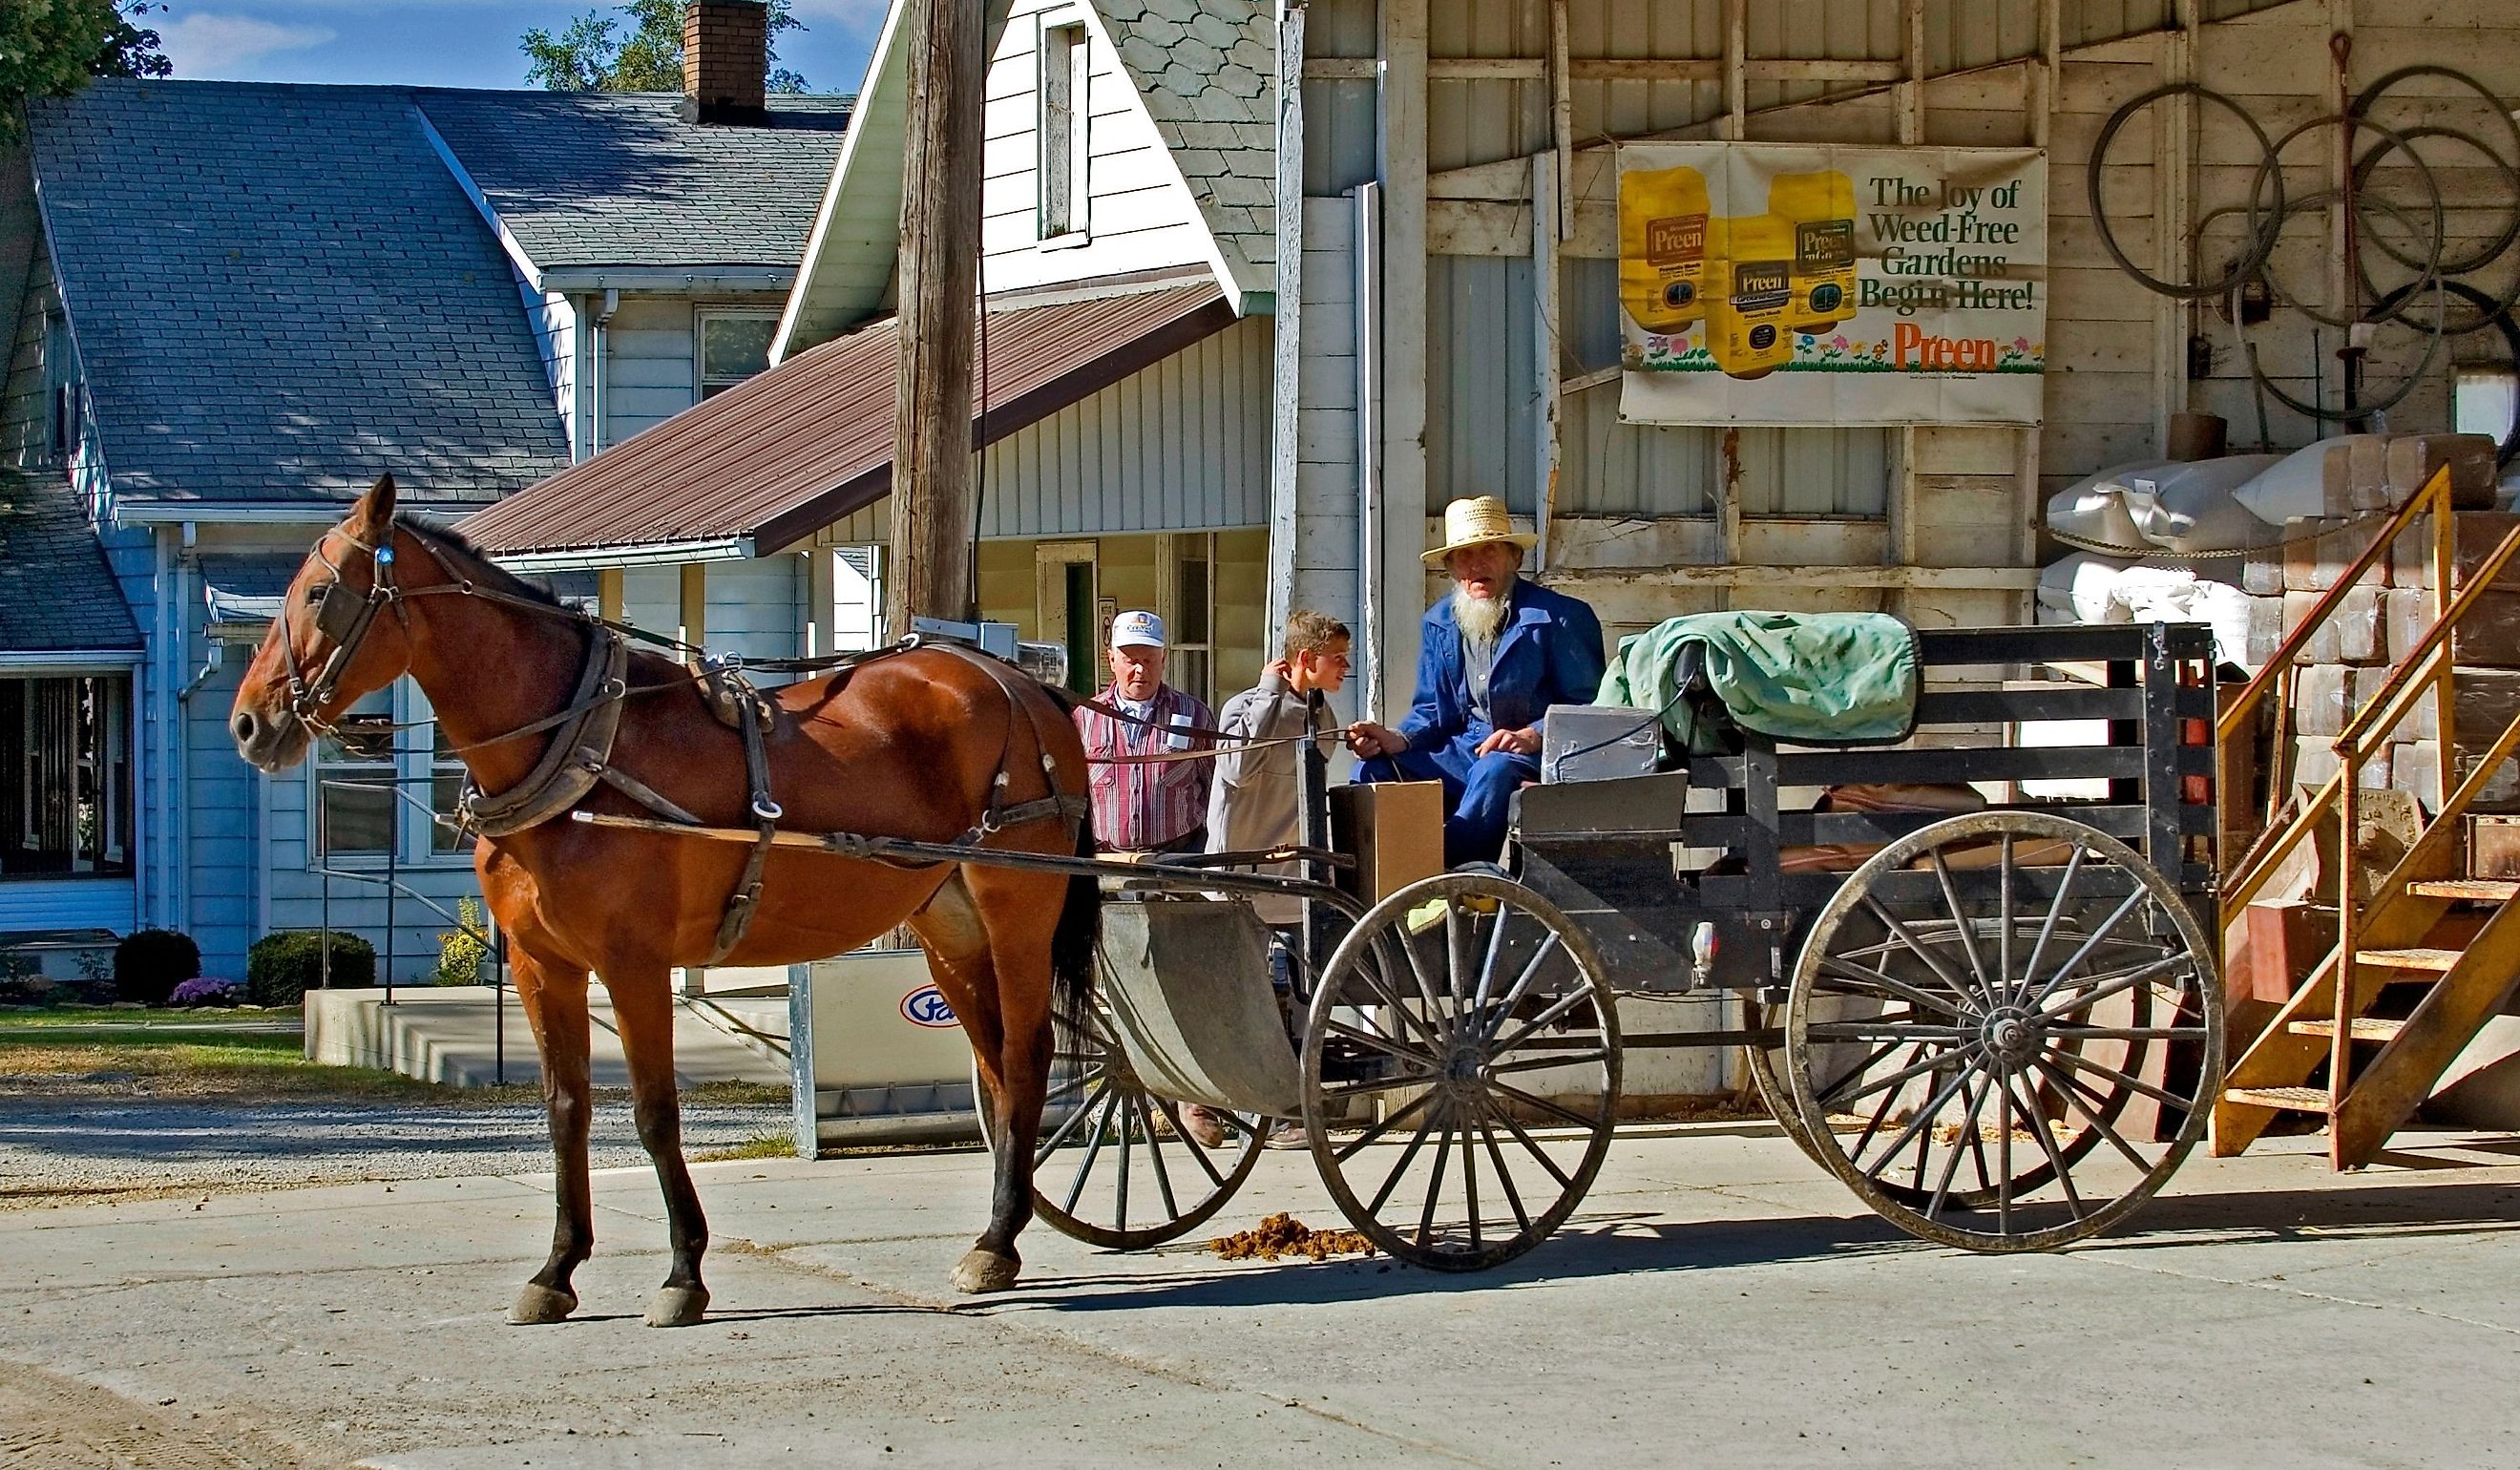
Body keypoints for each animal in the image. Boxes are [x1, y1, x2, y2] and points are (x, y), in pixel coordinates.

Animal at [231, 476, 1099, 1331]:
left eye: (319, 594)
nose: (248, 723)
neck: (580, 746)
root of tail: (1026, 684)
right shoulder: (543, 964)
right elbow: (567, 1109)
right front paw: (556, 1270)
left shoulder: (634, 962)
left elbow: (654, 1112)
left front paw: (684, 1273)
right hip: (949, 926)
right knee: (993, 1067)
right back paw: (997, 1234)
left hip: (1018, 911)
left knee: (1028, 1058)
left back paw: (999, 1242)